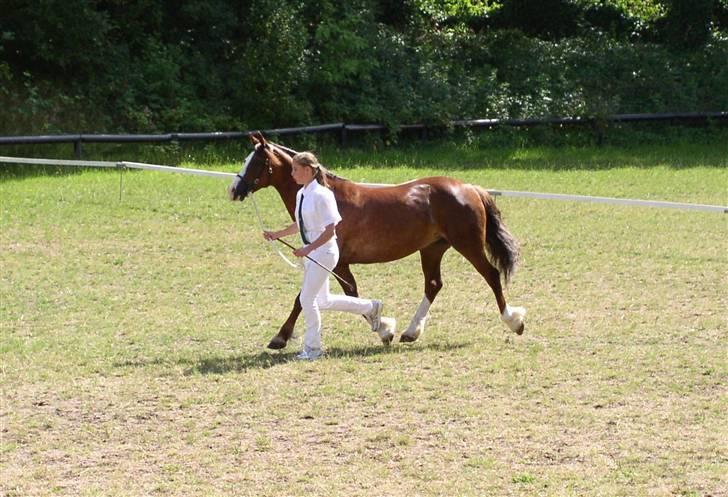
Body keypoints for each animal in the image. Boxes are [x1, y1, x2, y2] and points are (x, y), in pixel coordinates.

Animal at [228, 132, 524, 348]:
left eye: (255, 162)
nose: (234, 189)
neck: (328, 197)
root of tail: (471, 188)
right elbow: (332, 295)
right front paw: (385, 329)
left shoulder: (337, 263)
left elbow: (328, 296)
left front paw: (279, 338)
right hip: (432, 249)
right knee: (434, 284)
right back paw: (411, 332)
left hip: (468, 245)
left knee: (491, 275)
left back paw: (514, 322)